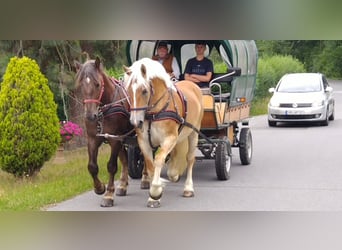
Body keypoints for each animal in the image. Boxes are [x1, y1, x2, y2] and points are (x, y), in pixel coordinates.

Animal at [123, 58, 203, 207]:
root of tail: (192, 85)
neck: (155, 112)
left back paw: (188, 188)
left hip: (194, 133)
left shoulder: (169, 138)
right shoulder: (143, 142)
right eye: (128, 91)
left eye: (144, 91)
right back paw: (174, 174)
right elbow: (150, 166)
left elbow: (159, 159)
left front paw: (155, 190)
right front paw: (154, 196)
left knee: (190, 159)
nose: (136, 122)